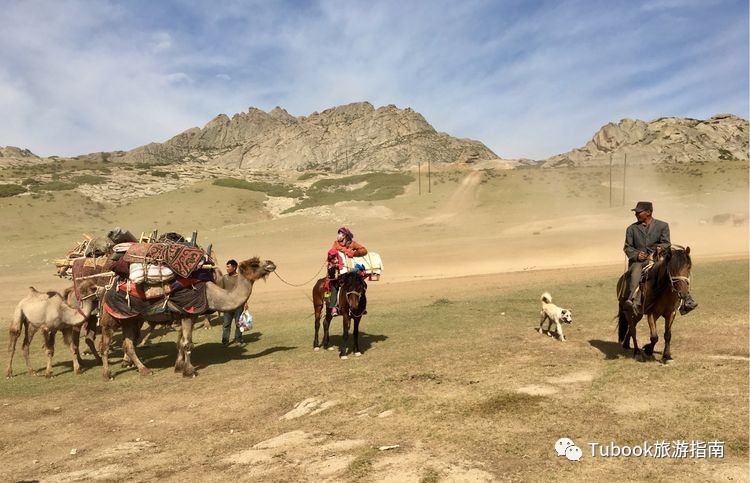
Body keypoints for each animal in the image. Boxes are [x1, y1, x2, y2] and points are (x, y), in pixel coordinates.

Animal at [98, 260, 276, 380]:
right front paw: (189, 371)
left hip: (130, 319)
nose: (271, 264)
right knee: (105, 345)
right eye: (254, 264)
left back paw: (145, 370)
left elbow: (180, 343)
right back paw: (107, 374)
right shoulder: (188, 314)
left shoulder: (189, 315)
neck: (210, 295)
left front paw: (178, 367)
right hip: (111, 317)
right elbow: (187, 344)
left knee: (128, 344)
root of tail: (106, 289)